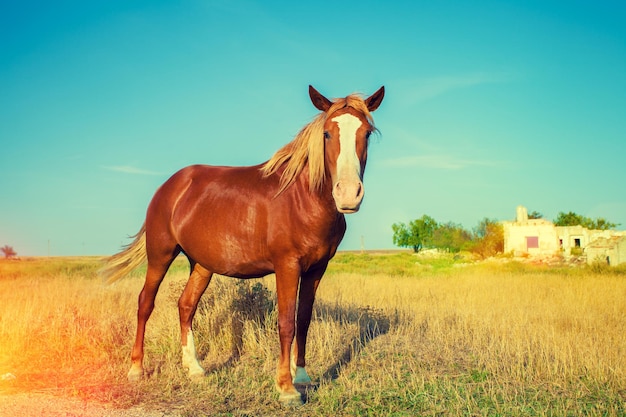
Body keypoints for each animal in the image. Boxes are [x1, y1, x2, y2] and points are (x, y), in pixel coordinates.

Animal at [100, 83, 382, 404]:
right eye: (327, 133)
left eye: (366, 133)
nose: (348, 194)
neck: (303, 199)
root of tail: (170, 185)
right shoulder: (287, 266)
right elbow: (286, 322)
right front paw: (286, 388)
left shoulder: (317, 268)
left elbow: (303, 320)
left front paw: (302, 377)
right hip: (160, 254)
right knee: (145, 302)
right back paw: (136, 369)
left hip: (202, 264)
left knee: (186, 305)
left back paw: (194, 368)